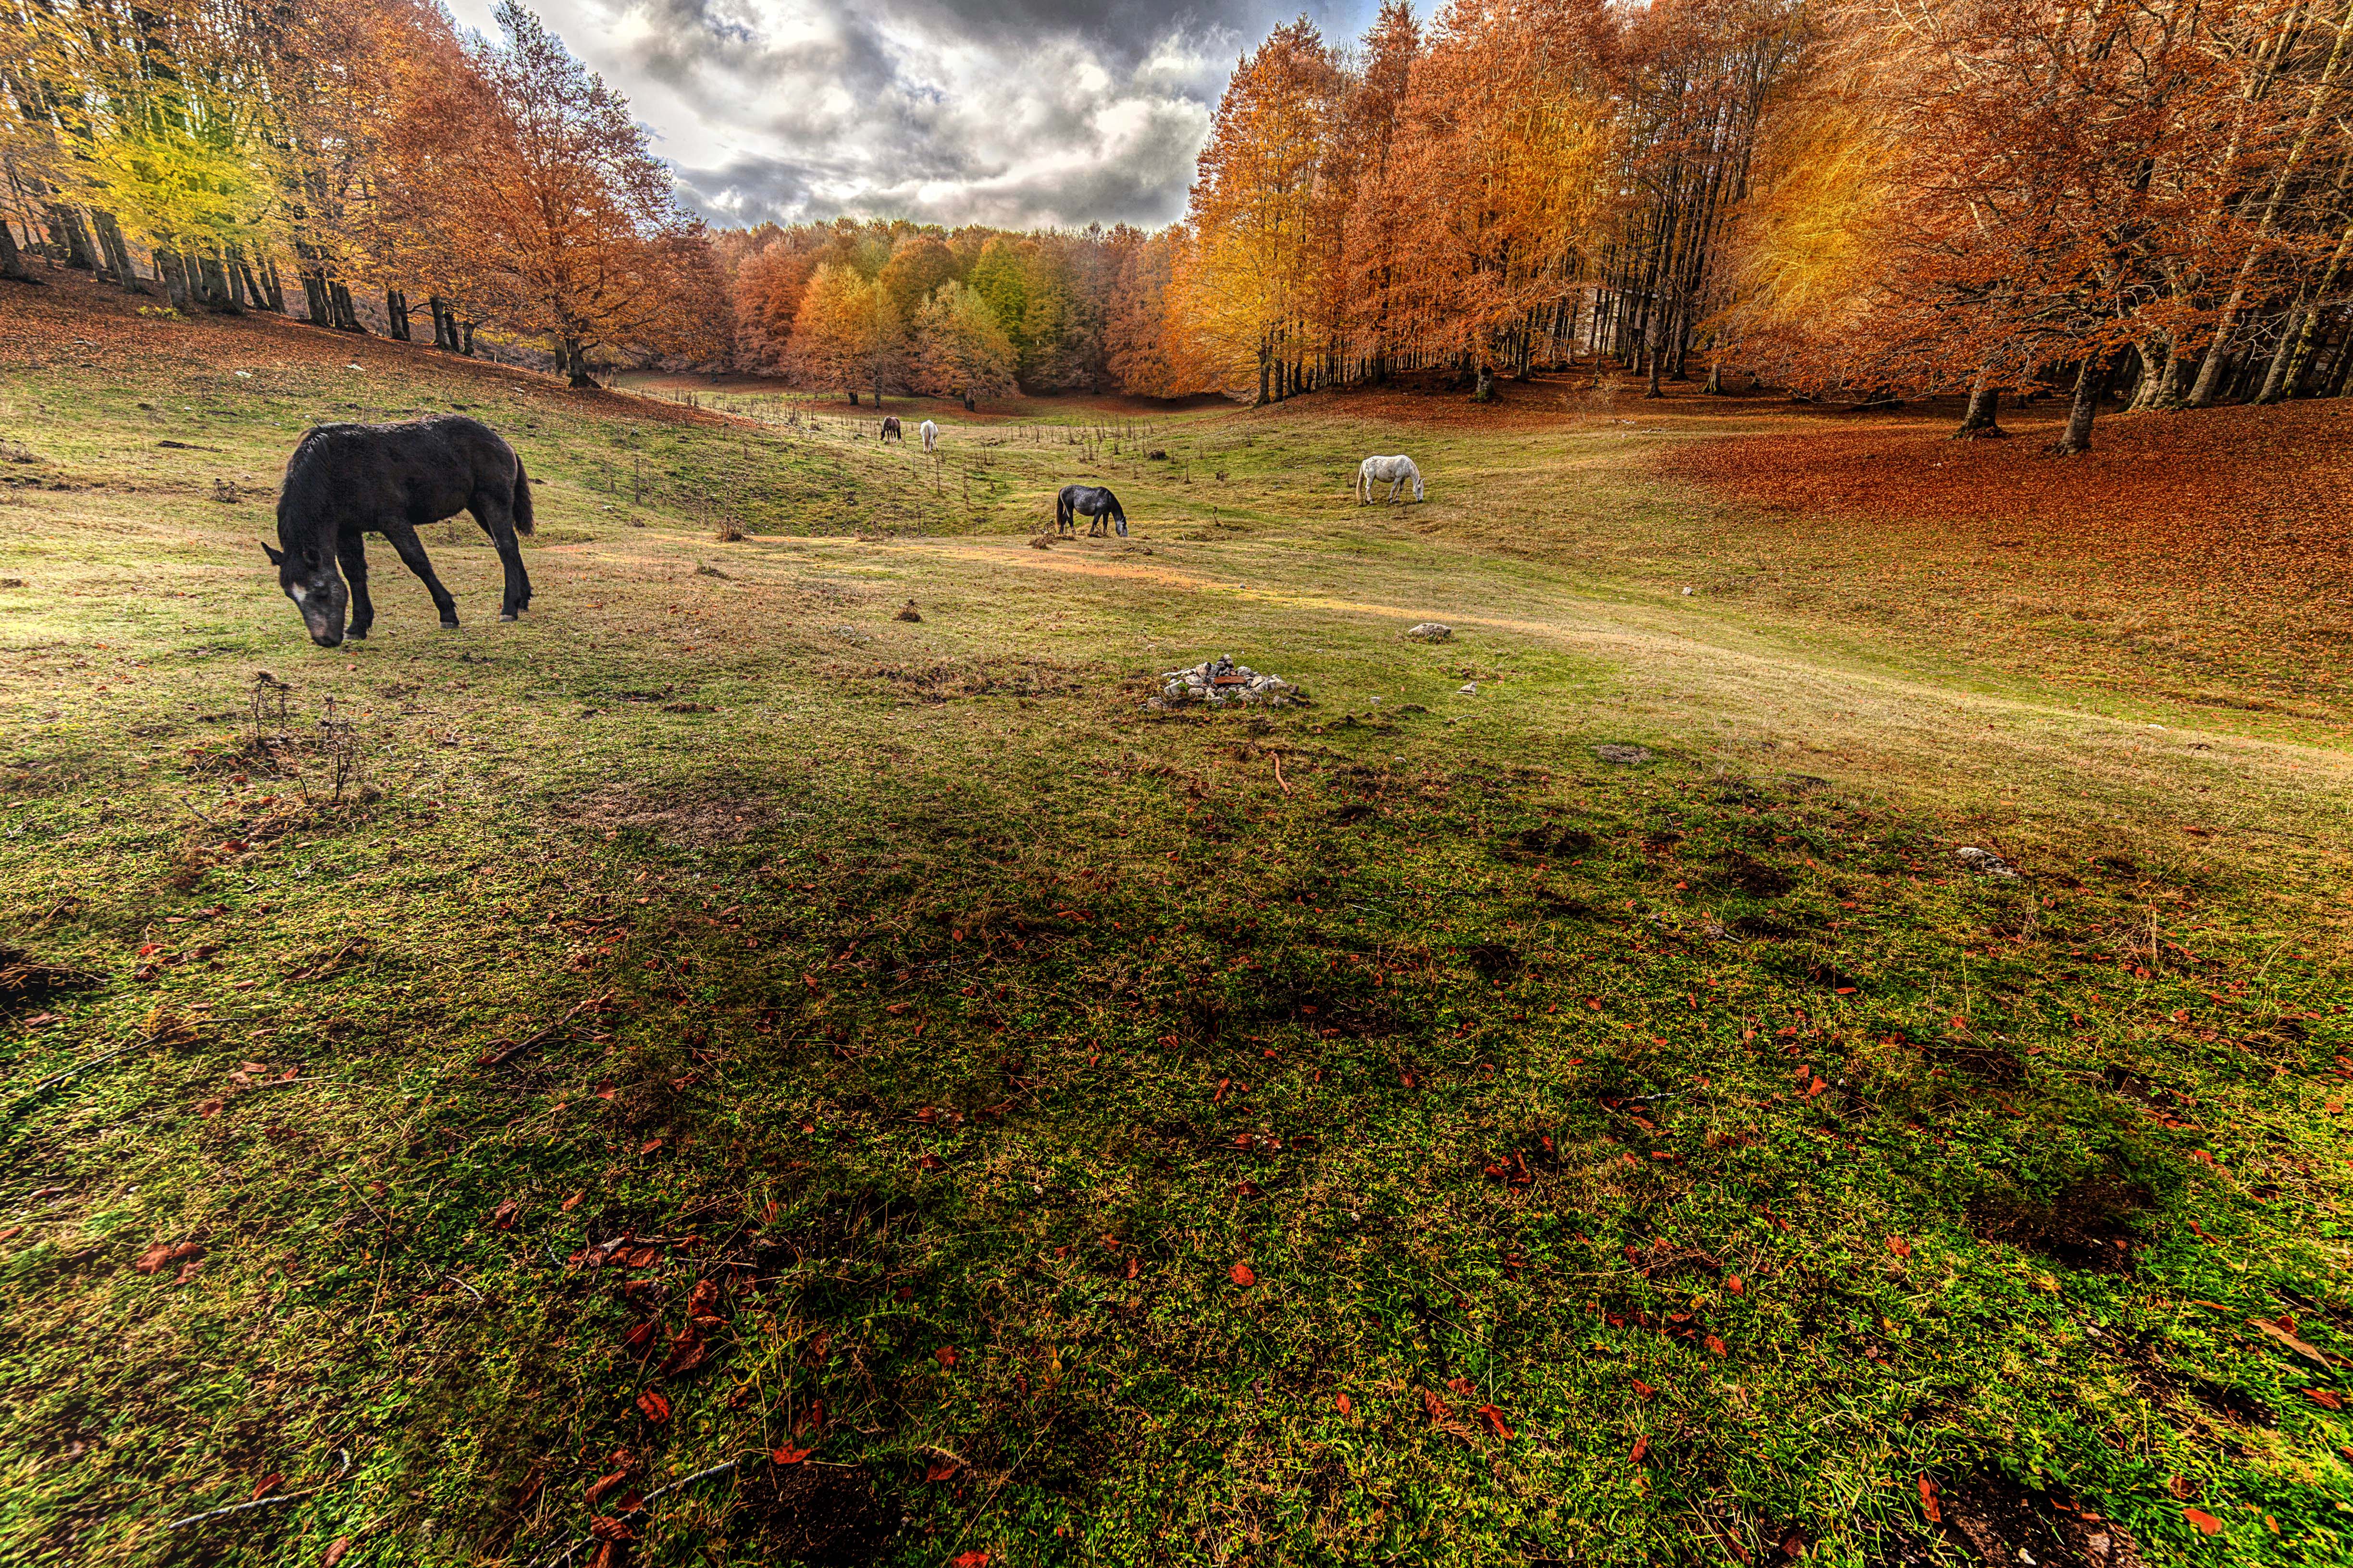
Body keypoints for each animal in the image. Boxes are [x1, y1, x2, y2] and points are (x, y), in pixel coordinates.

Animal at [264, 414, 536, 645]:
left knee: (506, 547)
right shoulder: (347, 530)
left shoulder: (393, 521)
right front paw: (358, 626)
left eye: (320, 592)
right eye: (290, 595)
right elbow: (354, 572)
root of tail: (502, 443)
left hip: (493, 502)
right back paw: (522, 599)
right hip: (477, 507)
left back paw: (509, 608)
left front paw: (447, 613)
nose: (325, 640)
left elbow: (417, 561)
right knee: (510, 547)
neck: (335, 465)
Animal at [1059, 482, 1129, 537]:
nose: (1126, 536)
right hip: (1069, 508)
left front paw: (1105, 534)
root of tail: (1063, 489)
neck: (1108, 498)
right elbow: (1095, 522)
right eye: (1124, 526)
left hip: (1068, 509)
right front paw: (1091, 533)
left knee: (1064, 519)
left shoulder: (1106, 513)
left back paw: (1061, 533)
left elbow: (1105, 524)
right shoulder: (1098, 513)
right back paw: (1074, 533)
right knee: (1070, 520)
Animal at [1355, 452, 1421, 501]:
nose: (1421, 500)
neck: (1407, 465)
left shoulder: (1403, 479)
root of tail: (1366, 461)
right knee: (1368, 488)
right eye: (1419, 489)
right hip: (1370, 478)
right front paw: (1390, 499)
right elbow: (1394, 488)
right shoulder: (1398, 479)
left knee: (1368, 488)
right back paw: (1371, 501)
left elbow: (1401, 488)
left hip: (1372, 478)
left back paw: (1367, 500)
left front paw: (1397, 499)